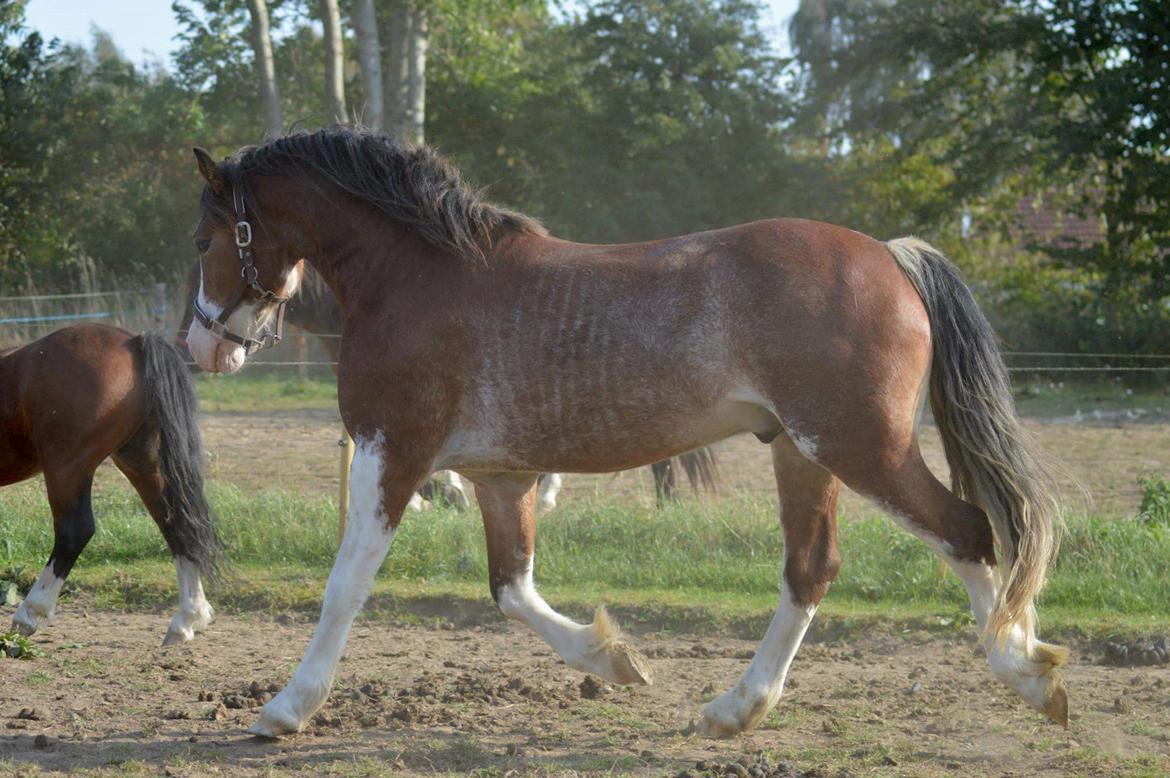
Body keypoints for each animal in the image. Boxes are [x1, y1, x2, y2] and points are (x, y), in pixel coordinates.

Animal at [0, 320, 219, 641]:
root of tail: (134, 341)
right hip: (140, 462)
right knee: (174, 521)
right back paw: (187, 618)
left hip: (68, 469)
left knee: (74, 533)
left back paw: (30, 612)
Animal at [184, 127, 1071, 734]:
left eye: (208, 237)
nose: (203, 345)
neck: (415, 276)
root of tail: (891, 256)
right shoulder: (500, 474)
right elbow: (511, 589)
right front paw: (612, 660)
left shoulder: (390, 449)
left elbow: (346, 585)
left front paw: (285, 708)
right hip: (802, 453)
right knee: (812, 570)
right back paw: (736, 708)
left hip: (861, 449)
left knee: (968, 530)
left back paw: (1028, 671)